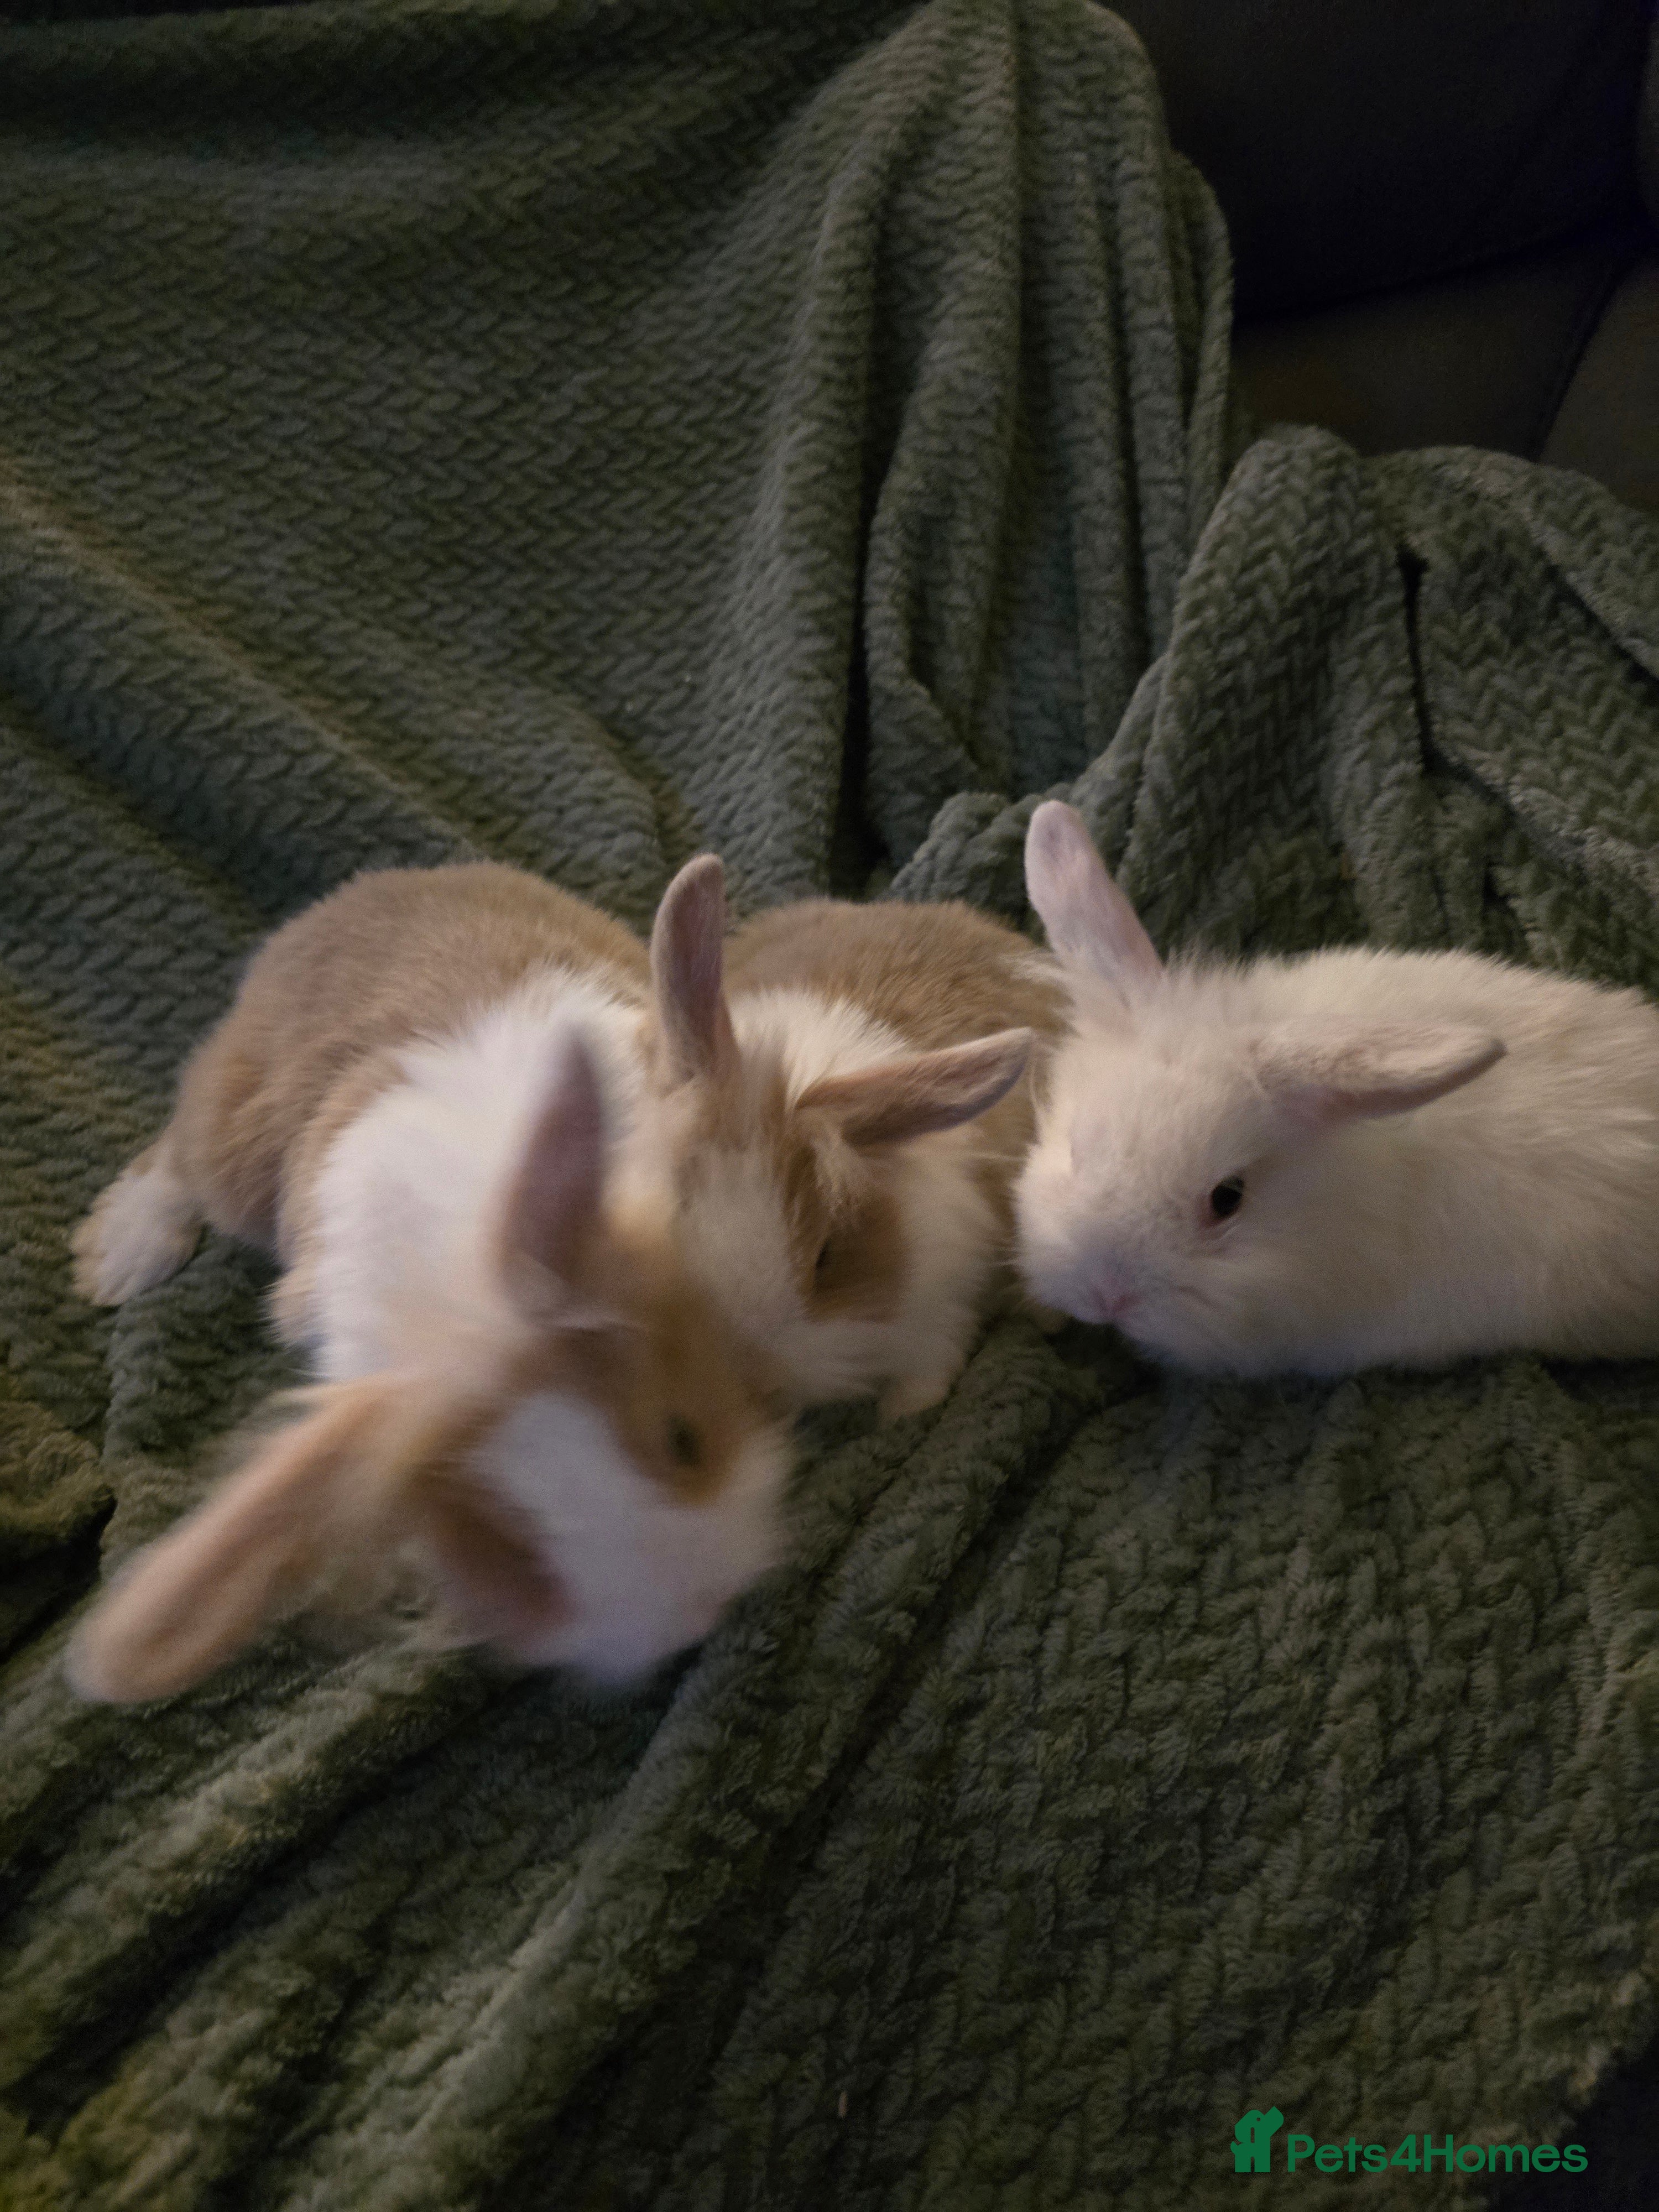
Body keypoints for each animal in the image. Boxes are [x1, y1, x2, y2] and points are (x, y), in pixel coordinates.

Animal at [68, 863, 791, 1700]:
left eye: (681, 1437)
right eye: (516, 1555)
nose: (699, 1617)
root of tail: (353, 897)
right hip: (234, 1138)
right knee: (179, 1155)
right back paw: (118, 1257)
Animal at [644, 856, 1070, 1418]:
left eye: (825, 1256)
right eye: (669, 1220)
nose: (753, 1384)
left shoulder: (943, 1300)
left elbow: (932, 1361)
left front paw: (904, 1413)